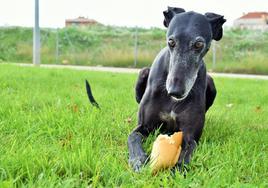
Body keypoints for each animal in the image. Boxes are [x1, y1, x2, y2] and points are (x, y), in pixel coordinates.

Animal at [129, 6, 225, 172]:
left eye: (198, 44)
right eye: (171, 41)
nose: (175, 91)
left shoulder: (189, 135)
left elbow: (188, 151)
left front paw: (178, 169)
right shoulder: (143, 126)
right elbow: (132, 137)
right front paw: (138, 160)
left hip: (211, 84)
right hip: (143, 73)